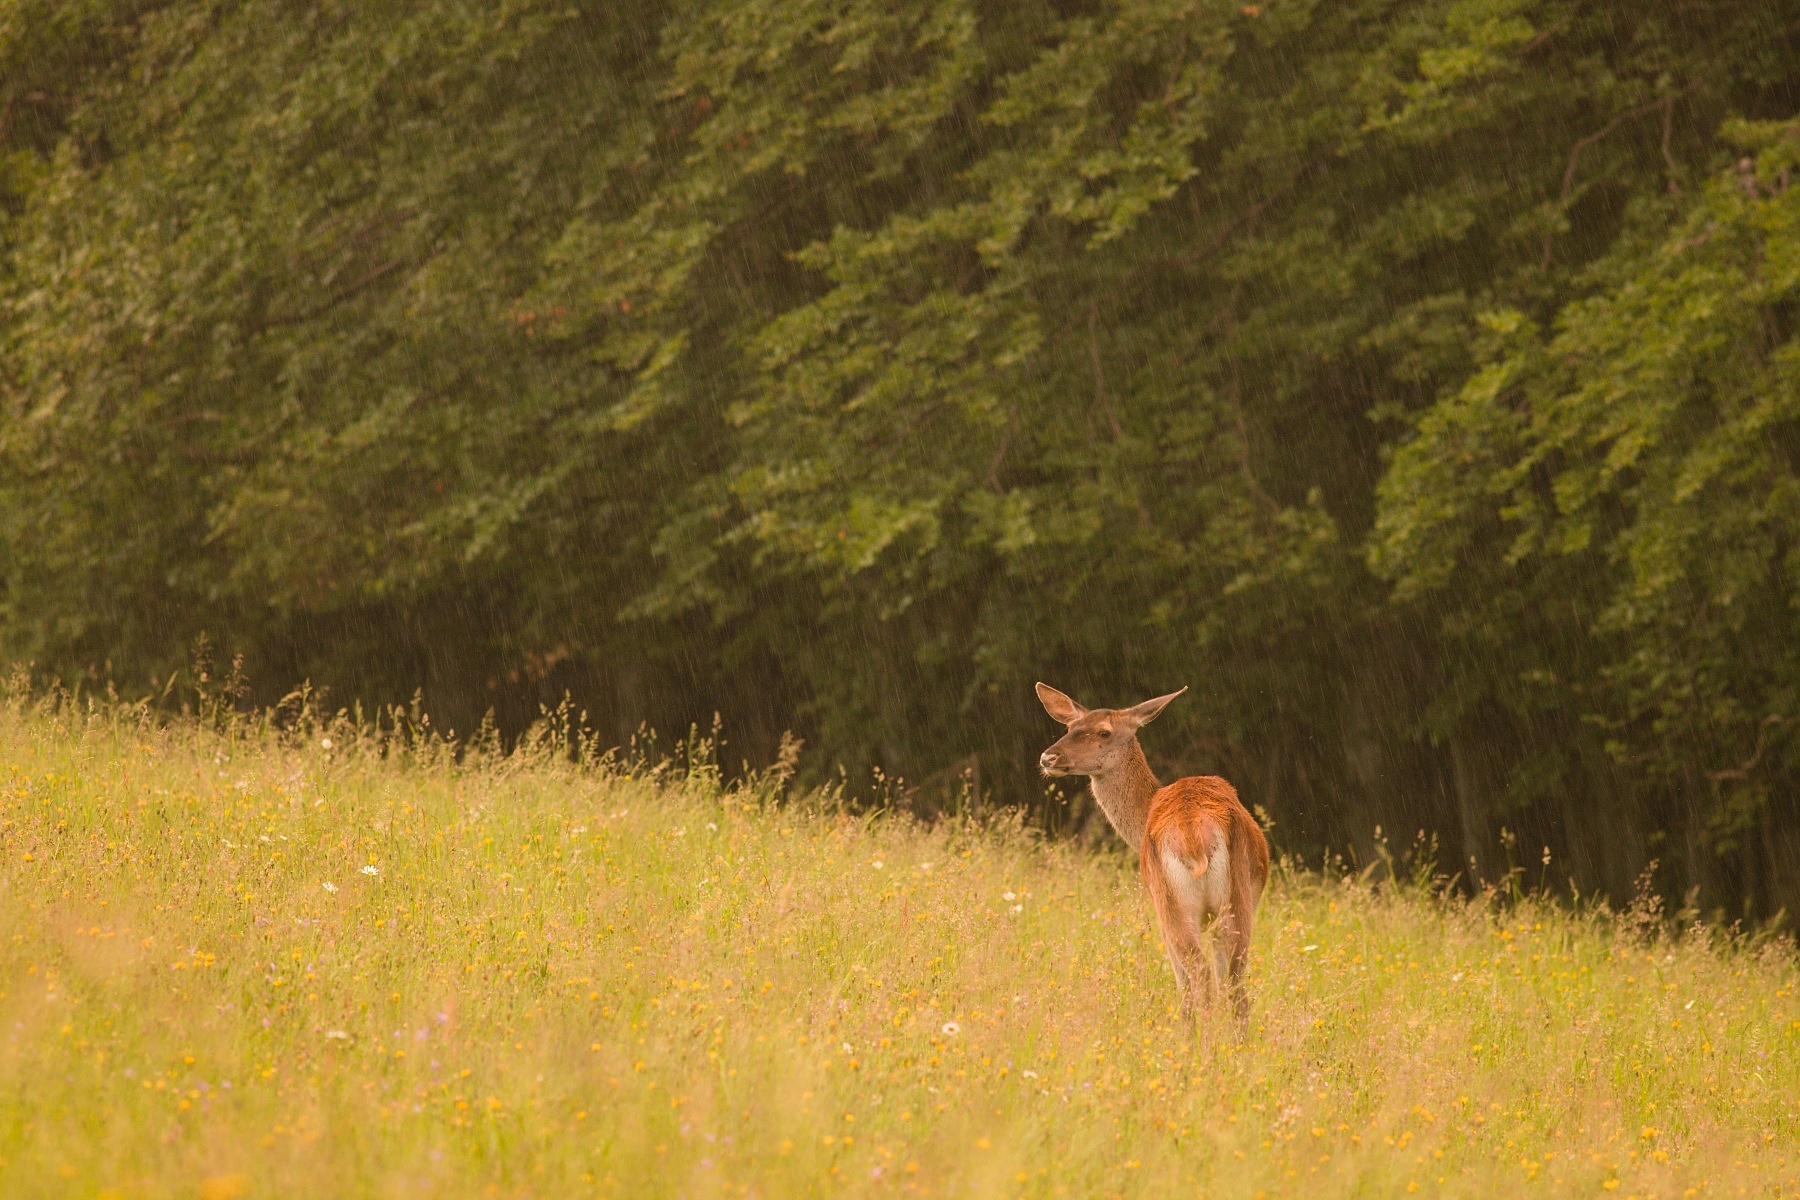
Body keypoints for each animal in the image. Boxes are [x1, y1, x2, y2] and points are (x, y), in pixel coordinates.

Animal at [1036, 683, 1274, 1021]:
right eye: (1070, 727)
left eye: (1104, 732)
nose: (1049, 757)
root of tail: (1191, 833)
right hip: (1235, 898)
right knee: (1234, 980)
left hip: (1170, 900)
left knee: (1198, 976)